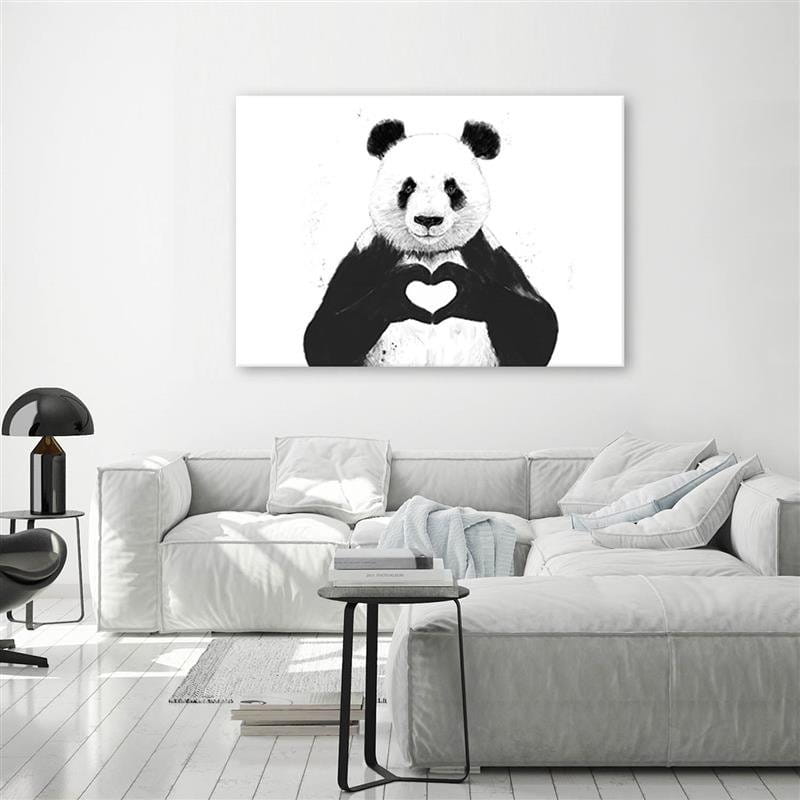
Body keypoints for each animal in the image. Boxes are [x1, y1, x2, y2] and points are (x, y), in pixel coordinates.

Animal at [303, 119, 558, 367]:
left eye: (452, 187)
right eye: (408, 186)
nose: (428, 219)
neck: (430, 253)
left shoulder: (488, 255)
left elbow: (537, 327)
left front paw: (459, 285)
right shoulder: (368, 257)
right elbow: (324, 336)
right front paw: (404, 286)